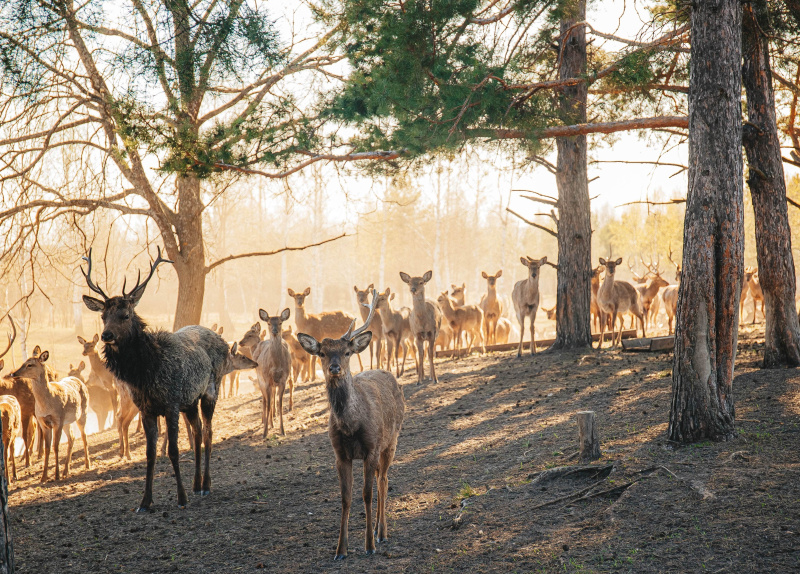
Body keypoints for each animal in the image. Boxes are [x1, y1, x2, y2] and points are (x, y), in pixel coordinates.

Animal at [10, 348, 90, 484]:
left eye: (30, 364)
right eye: (23, 362)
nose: (13, 373)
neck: (46, 404)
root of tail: (78, 380)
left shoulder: (58, 420)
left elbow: (55, 446)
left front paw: (56, 475)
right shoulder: (44, 423)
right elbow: (47, 448)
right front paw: (43, 477)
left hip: (82, 413)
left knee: (84, 436)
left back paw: (87, 464)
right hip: (67, 422)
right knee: (72, 437)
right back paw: (66, 471)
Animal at [82, 248, 230, 512]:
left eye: (125, 315)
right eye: (103, 316)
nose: (106, 335)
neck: (146, 373)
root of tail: (223, 339)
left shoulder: (171, 403)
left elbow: (173, 450)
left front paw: (181, 498)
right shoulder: (147, 409)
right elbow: (150, 455)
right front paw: (145, 501)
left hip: (212, 389)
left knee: (209, 431)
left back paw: (205, 485)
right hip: (190, 402)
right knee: (198, 431)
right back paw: (196, 484)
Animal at [296, 292, 404, 564]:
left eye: (346, 352)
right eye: (322, 353)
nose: (334, 368)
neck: (350, 426)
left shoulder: (371, 448)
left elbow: (366, 494)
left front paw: (369, 546)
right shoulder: (340, 454)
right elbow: (345, 498)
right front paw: (341, 549)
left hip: (392, 440)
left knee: (383, 481)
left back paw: (381, 532)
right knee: (379, 479)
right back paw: (376, 530)